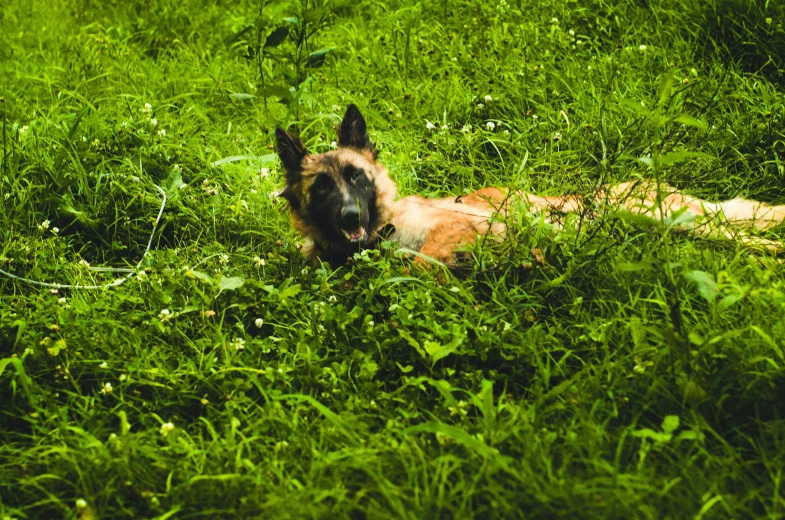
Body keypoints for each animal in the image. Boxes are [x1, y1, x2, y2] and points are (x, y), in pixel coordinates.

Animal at [274, 105, 784, 268]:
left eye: (355, 176)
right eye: (322, 187)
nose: (350, 216)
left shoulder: (456, 227)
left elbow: (427, 259)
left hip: (671, 218)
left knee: (749, 233)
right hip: (673, 227)